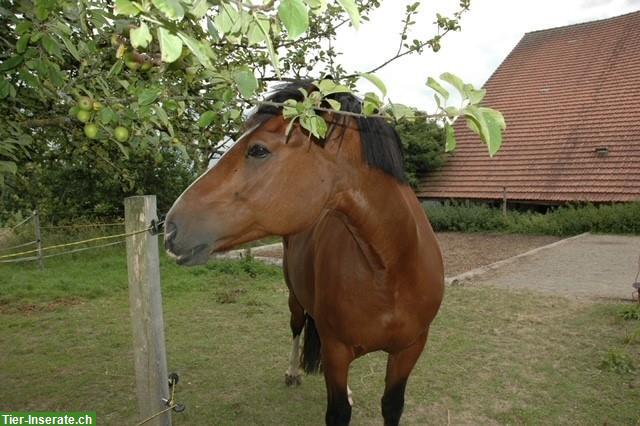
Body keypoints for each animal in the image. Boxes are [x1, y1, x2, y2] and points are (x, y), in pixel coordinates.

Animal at [165, 81, 444, 424]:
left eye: (258, 150)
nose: (170, 226)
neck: (390, 269)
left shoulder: (409, 350)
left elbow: (392, 406)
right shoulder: (336, 350)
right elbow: (338, 411)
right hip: (296, 300)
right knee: (296, 328)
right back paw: (292, 372)